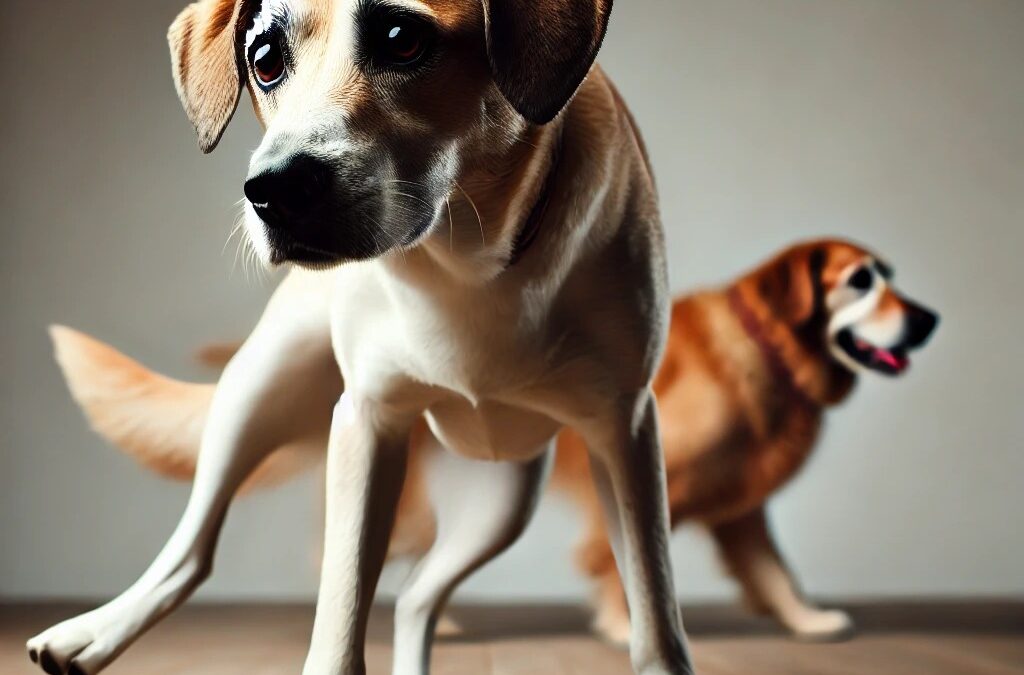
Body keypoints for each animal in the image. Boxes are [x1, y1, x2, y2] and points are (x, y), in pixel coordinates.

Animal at [25, 1, 696, 675]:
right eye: (264, 59)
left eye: (401, 39)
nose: (275, 190)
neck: (465, 267)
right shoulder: (366, 423)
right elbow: (341, 607)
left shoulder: (624, 428)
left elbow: (652, 604)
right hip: (261, 384)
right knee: (193, 547)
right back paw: (93, 631)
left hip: (500, 502)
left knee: (418, 596)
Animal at [54, 234, 937, 647]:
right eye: (862, 281)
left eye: (892, 276)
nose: (929, 318)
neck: (770, 353)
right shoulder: (655, 471)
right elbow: (613, 559)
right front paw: (617, 623)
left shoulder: (738, 507)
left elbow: (774, 571)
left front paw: (810, 621)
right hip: (405, 493)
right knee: (343, 555)